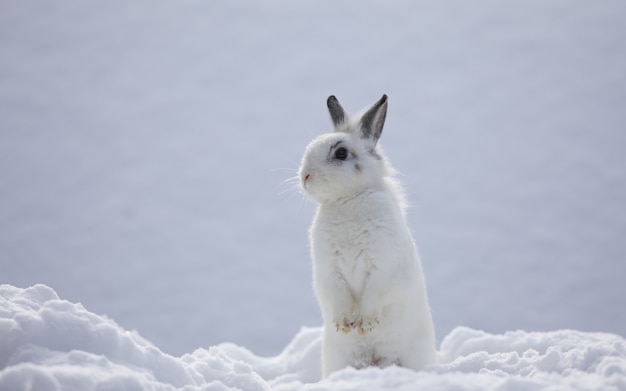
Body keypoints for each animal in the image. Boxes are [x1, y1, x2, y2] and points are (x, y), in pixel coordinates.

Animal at [298, 93, 434, 378]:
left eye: (340, 153)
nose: (305, 176)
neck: (347, 200)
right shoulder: (329, 271)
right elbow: (337, 295)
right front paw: (345, 324)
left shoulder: (383, 266)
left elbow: (375, 294)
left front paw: (364, 325)